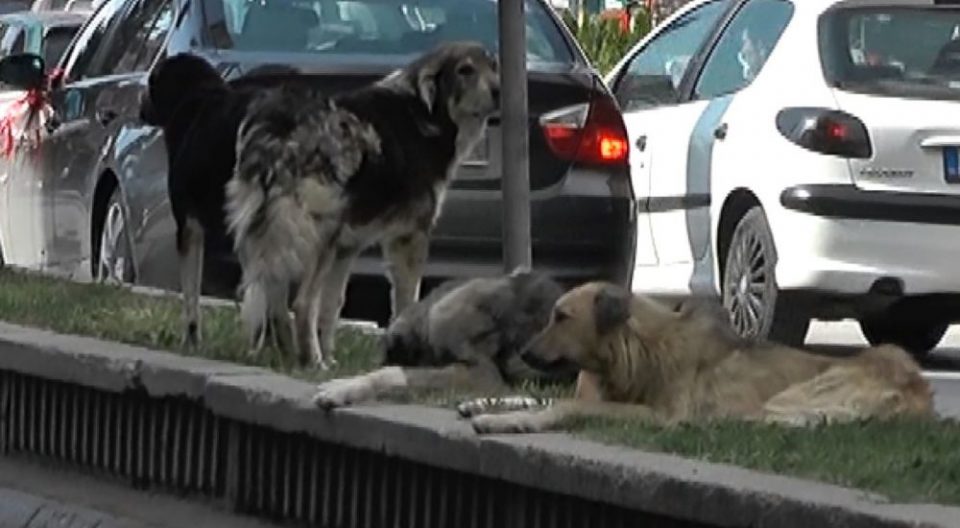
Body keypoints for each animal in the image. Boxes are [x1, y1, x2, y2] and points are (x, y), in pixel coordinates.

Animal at [223, 42, 496, 368]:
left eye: (493, 66)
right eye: (465, 70)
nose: (499, 91)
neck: (426, 113)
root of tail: (284, 124)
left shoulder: (347, 248)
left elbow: (333, 305)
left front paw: (332, 359)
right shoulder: (409, 238)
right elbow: (405, 301)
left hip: (267, 232)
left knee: (271, 298)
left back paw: (287, 356)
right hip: (317, 237)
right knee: (302, 304)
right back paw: (312, 361)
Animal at [462, 280, 932, 434]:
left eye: (561, 317)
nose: (523, 351)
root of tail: (919, 390)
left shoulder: (660, 415)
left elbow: (564, 405)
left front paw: (506, 421)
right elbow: (538, 395)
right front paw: (481, 404)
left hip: (794, 395)